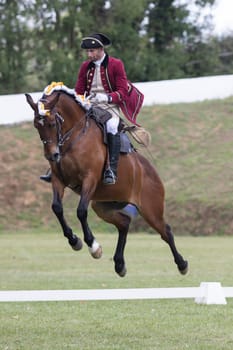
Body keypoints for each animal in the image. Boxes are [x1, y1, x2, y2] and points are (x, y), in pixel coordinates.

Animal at [25, 84, 187, 276]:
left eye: (52, 123)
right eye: (36, 125)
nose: (52, 155)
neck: (75, 137)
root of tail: (151, 170)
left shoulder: (89, 179)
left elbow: (81, 211)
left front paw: (93, 246)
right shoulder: (58, 180)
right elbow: (57, 208)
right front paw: (74, 240)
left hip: (150, 210)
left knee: (165, 231)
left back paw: (182, 264)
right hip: (103, 205)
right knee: (124, 223)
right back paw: (119, 264)